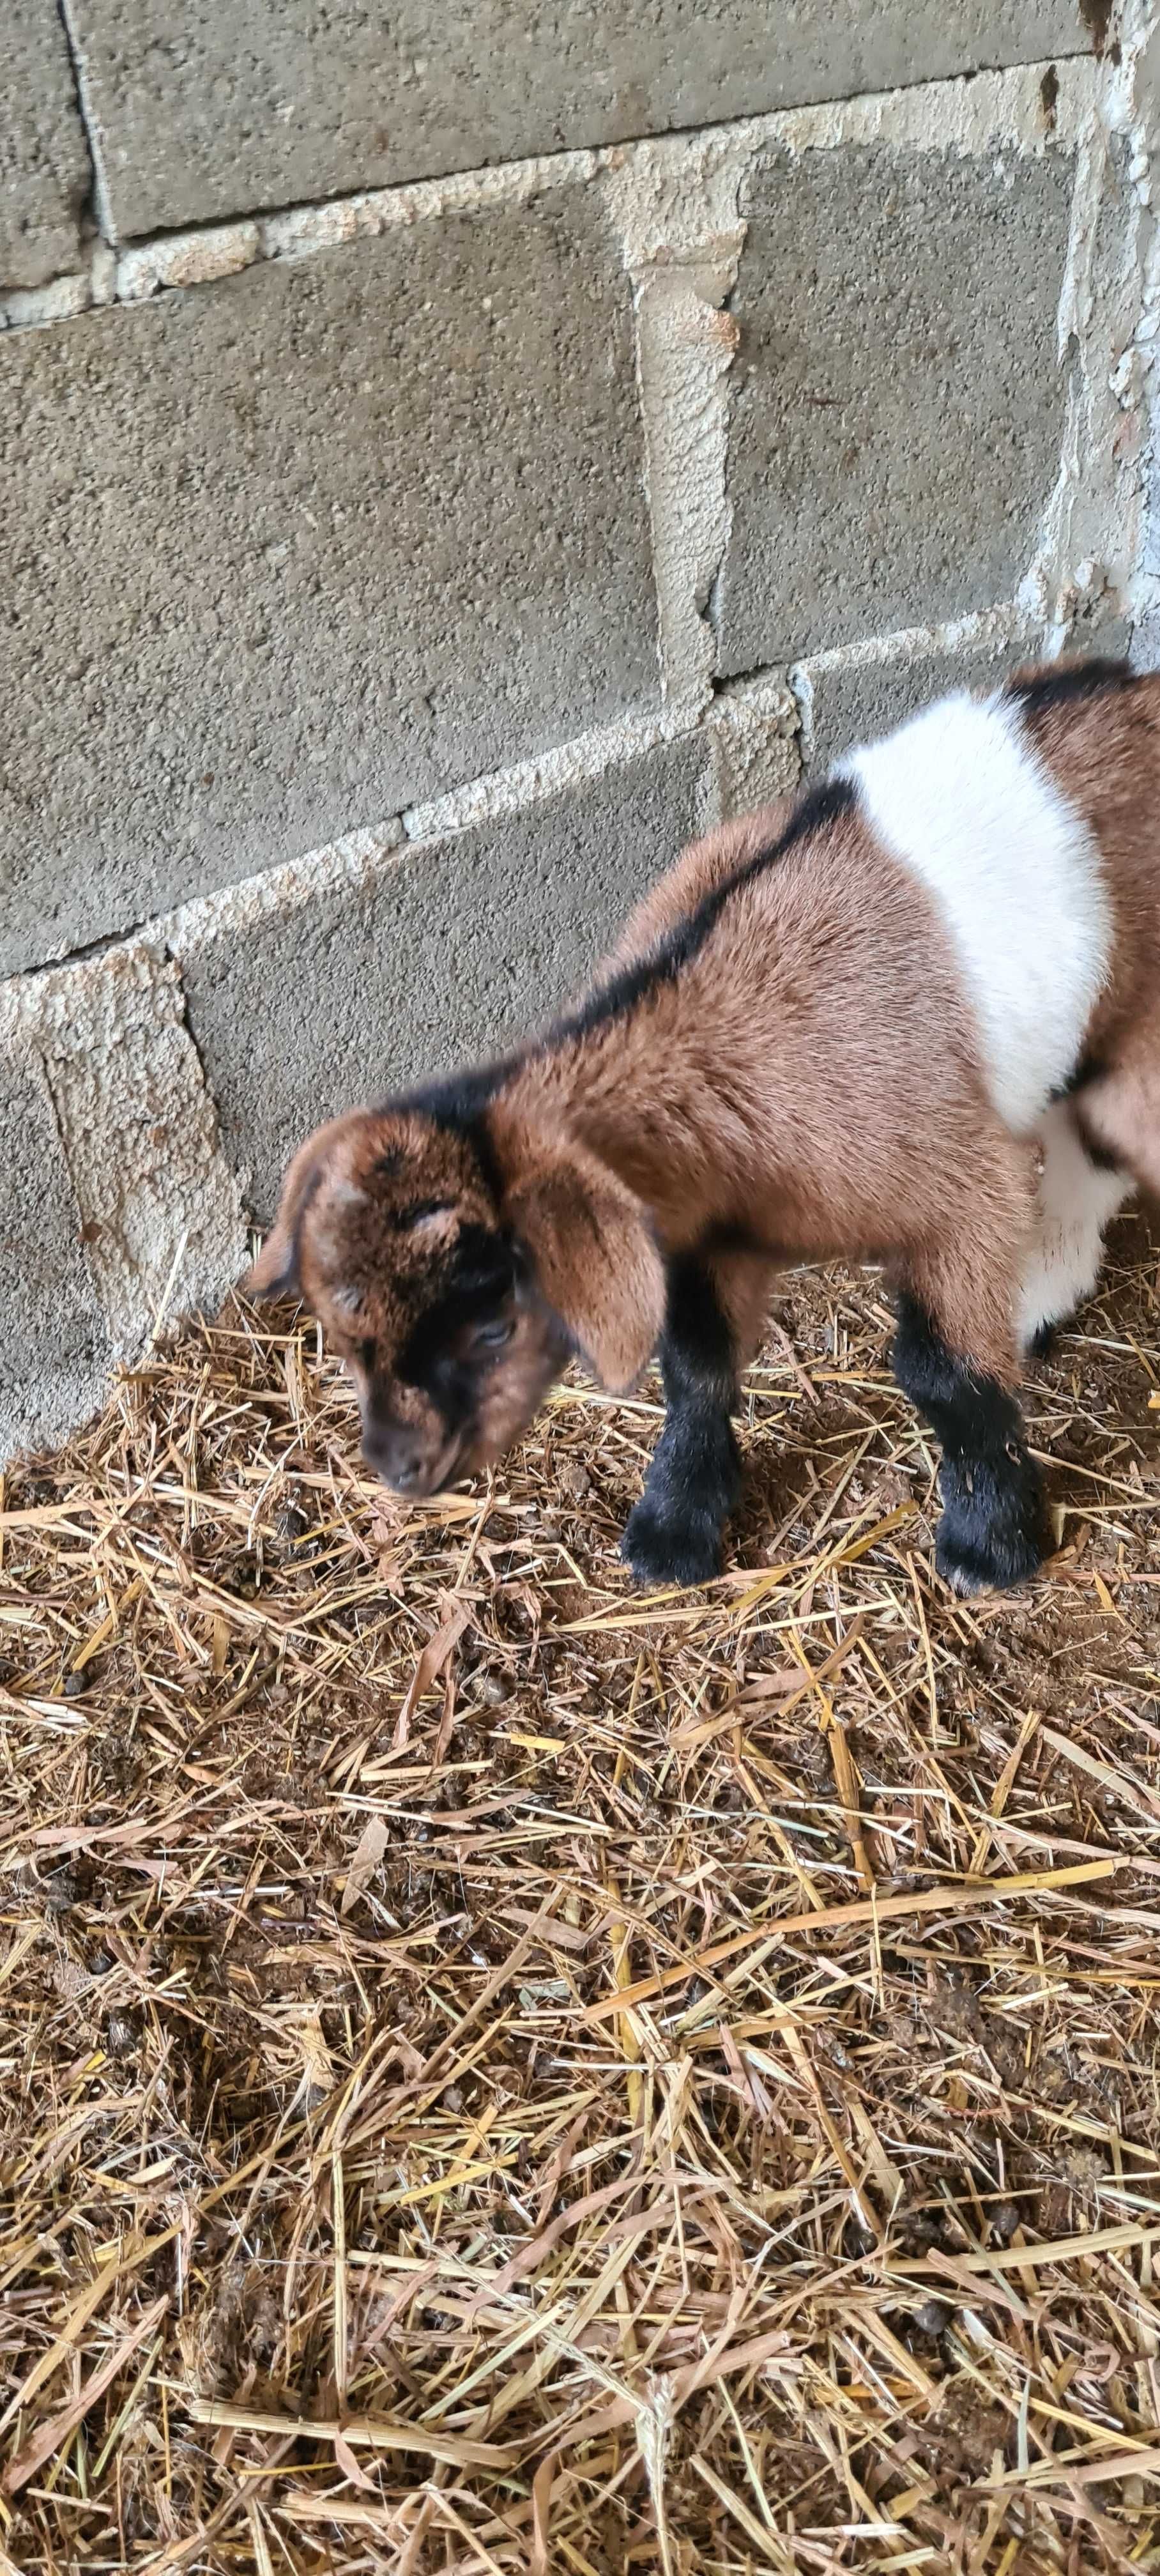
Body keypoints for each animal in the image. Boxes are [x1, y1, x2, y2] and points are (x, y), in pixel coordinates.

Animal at [247, 654, 1159, 1597]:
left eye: (495, 1327)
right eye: (345, 1336)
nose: (399, 1467)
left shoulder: (957, 1191)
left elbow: (945, 1372)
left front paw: (990, 1546)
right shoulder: (701, 1234)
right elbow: (698, 1367)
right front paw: (673, 1530)